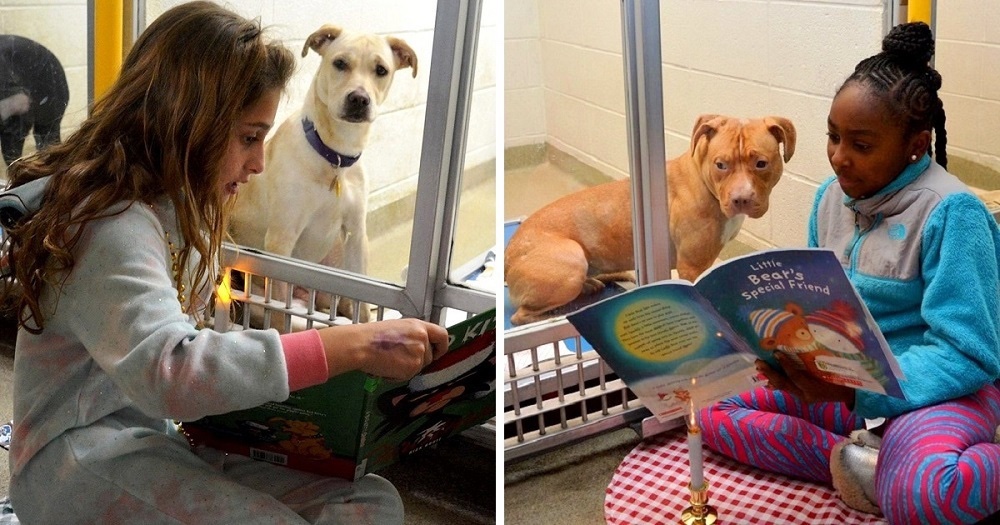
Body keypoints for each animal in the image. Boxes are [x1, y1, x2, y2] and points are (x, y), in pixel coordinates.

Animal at [230, 25, 418, 324]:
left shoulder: (356, 236)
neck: (335, 158)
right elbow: (280, 315)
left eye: (381, 70)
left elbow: (364, 307)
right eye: (340, 63)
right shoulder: (281, 242)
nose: (358, 99)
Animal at [508, 115, 796, 324]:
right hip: (571, 261)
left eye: (761, 163)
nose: (741, 199)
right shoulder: (691, 266)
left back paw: (591, 284)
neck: (703, 179)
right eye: (720, 165)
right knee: (521, 316)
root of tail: (507, 258)